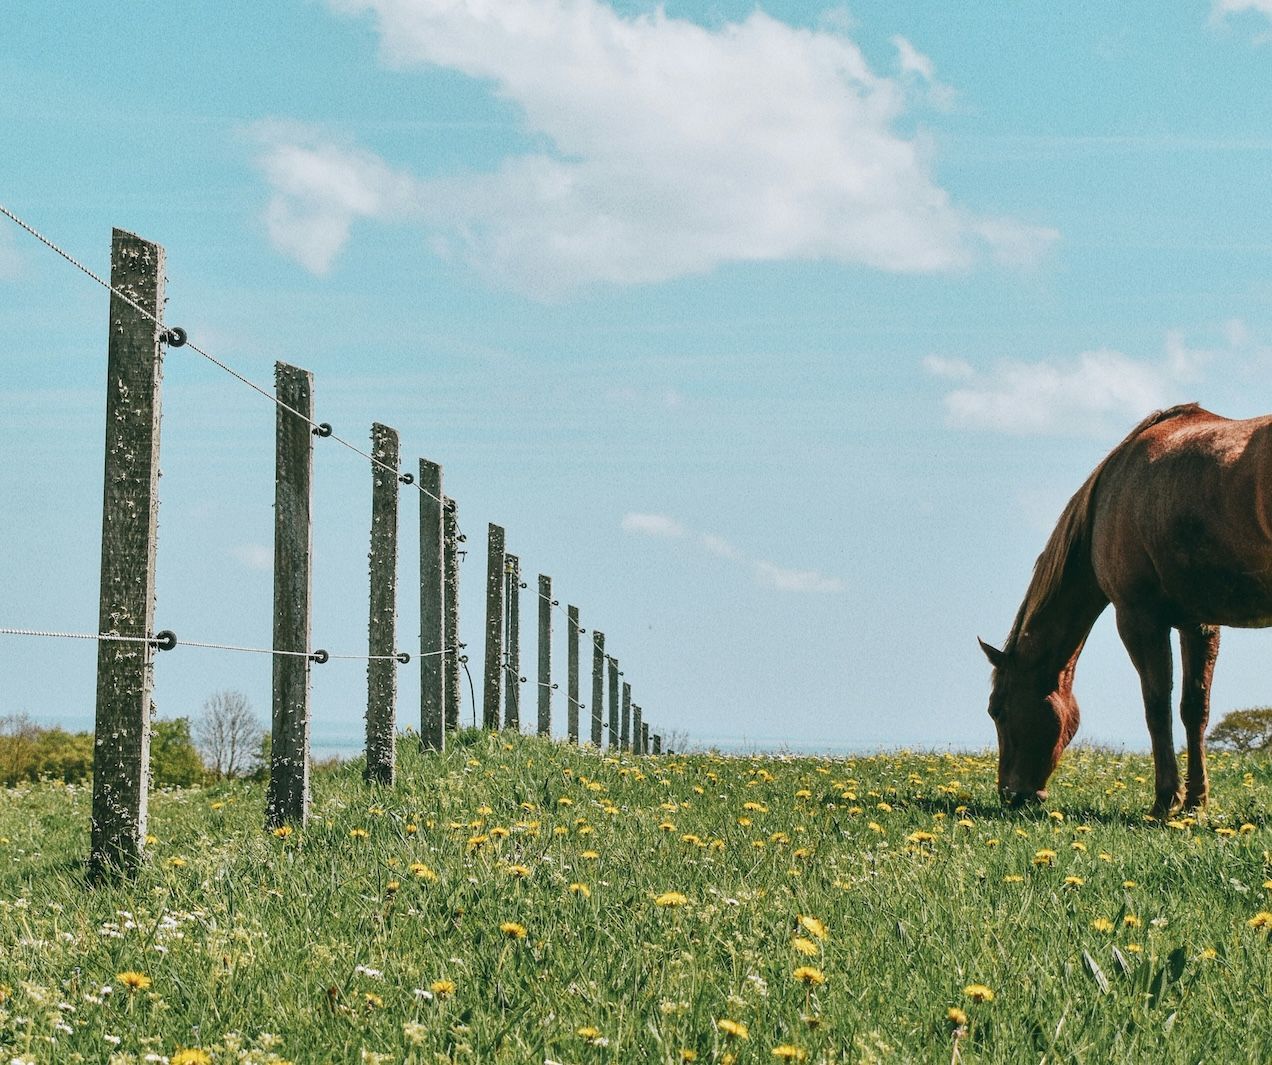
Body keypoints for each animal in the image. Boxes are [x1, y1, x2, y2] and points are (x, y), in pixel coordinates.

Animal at [980, 402, 1272, 817]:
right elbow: (1194, 709)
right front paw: (1194, 802)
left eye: (997, 709)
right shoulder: (1198, 624)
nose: (1010, 794)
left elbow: (1157, 707)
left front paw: (1165, 801)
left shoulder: (1138, 620)